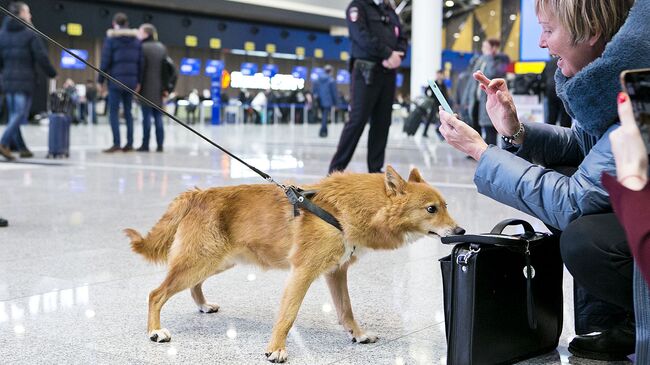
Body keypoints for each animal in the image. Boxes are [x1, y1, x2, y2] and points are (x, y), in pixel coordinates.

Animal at [125, 165, 460, 362]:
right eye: (431, 209)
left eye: (445, 206)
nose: (459, 232)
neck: (343, 210)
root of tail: (196, 194)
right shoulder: (303, 273)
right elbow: (287, 315)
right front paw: (276, 348)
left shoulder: (336, 273)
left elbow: (346, 311)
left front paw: (358, 334)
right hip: (201, 260)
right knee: (156, 294)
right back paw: (155, 331)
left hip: (217, 261)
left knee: (193, 285)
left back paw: (203, 305)